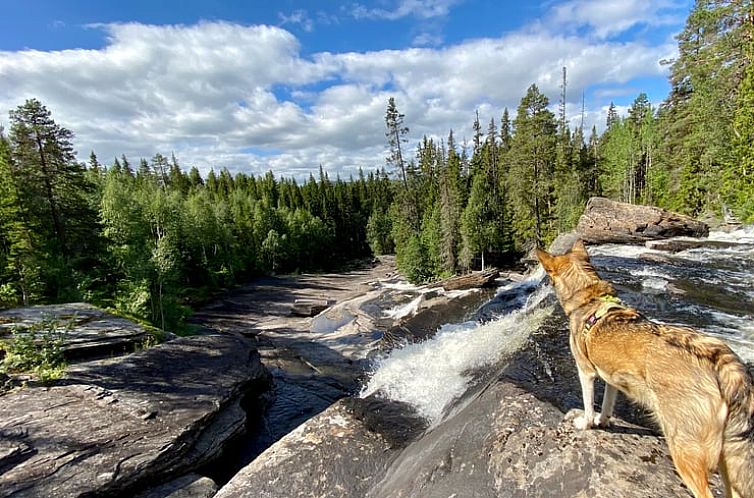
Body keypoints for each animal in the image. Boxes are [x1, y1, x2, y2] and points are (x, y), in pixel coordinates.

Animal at [536, 239, 752, 496]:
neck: (589, 299)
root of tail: (723, 364)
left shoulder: (585, 371)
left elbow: (589, 406)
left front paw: (586, 424)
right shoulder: (611, 376)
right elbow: (607, 404)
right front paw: (603, 422)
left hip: (684, 448)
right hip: (729, 459)